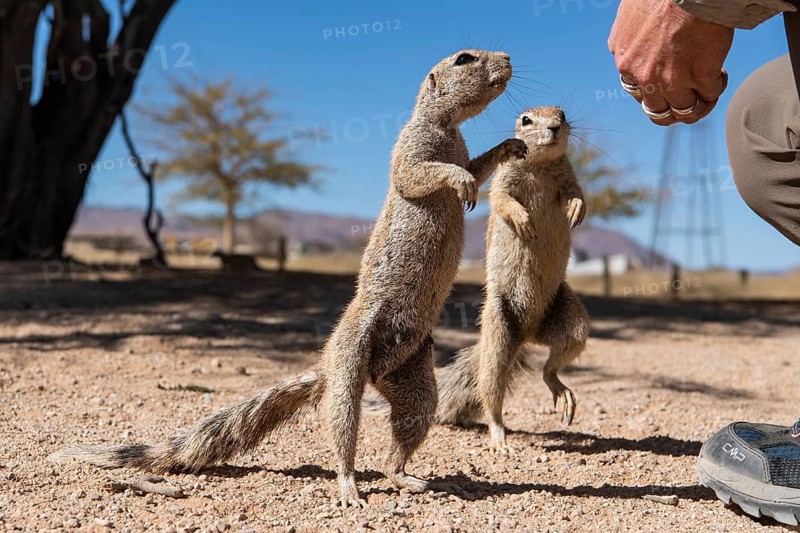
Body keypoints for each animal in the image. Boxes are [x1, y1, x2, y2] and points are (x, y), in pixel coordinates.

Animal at [49, 50, 527, 507]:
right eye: (464, 59)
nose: (507, 57)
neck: (446, 126)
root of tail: (337, 369)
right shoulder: (411, 149)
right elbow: (422, 173)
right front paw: (461, 179)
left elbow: (479, 166)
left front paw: (511, 145)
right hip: (350, 366)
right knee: (341, 429)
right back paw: (349, 487)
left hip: (414, 377)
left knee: (406, 430)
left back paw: (404, 477)